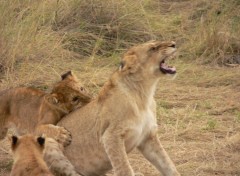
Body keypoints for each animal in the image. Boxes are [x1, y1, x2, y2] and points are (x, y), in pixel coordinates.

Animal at [44, 40, 180, 176]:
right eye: (153, 48)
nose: (174, 44)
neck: (144, 93)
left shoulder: (148, 137)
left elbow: (167, 164)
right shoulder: (111, 136)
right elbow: (124, 169)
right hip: (49, 143)